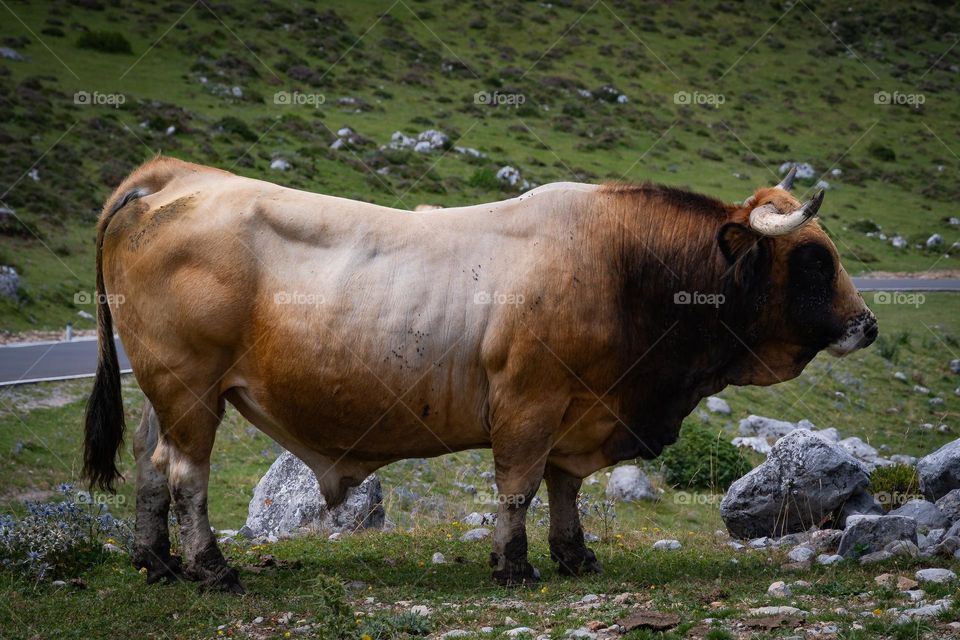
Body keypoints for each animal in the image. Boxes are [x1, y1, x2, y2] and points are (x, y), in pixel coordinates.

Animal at [83, 157, 877, 592]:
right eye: (813, 259)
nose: (868, 324)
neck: (624, 267)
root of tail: (177, 179)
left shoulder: (579, 410)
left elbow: (564, 487)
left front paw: (574, 555)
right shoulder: (530, 402)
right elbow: (519, 486)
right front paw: (514, 565)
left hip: (165, 387)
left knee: (150, 463)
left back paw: (155, 561)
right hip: (192, 388)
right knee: (186, 475)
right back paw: (210, 568)